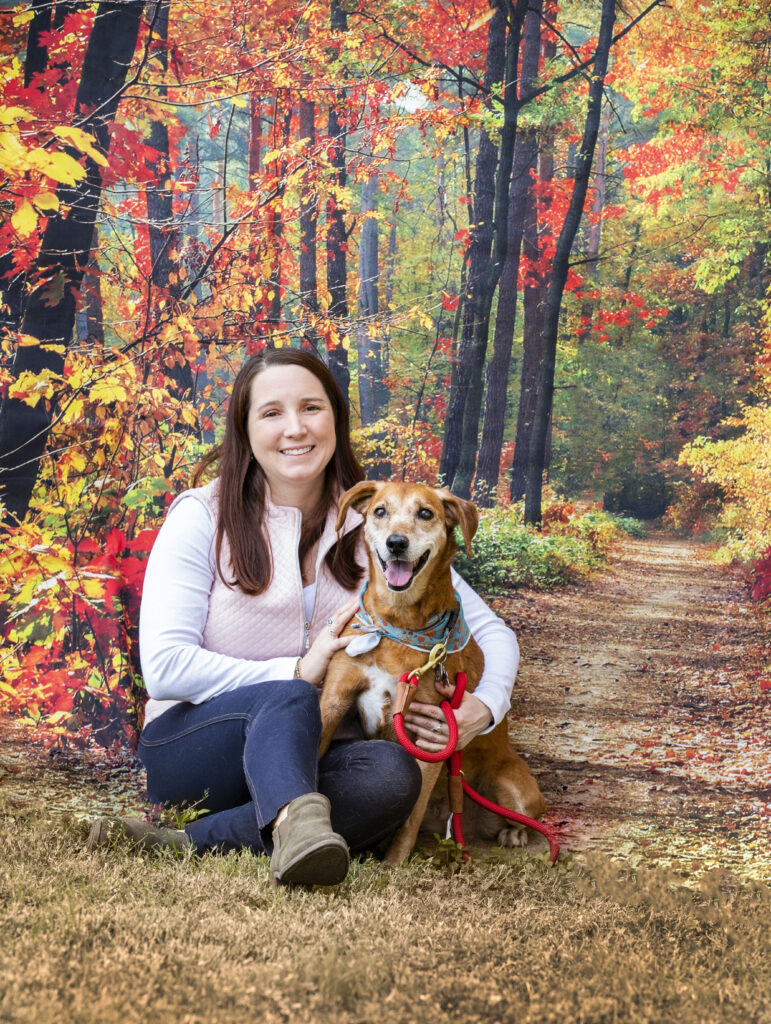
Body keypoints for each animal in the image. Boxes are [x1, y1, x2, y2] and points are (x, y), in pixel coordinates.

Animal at [319, 479, 548, 864]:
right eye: (380, 511)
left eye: (425, 513)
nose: (396, 543)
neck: (397, 624)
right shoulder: (333, 701)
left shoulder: (431, 738)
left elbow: (410, 819)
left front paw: (394, 864)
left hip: (513, 789)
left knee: (527, 819)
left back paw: (512, 834)